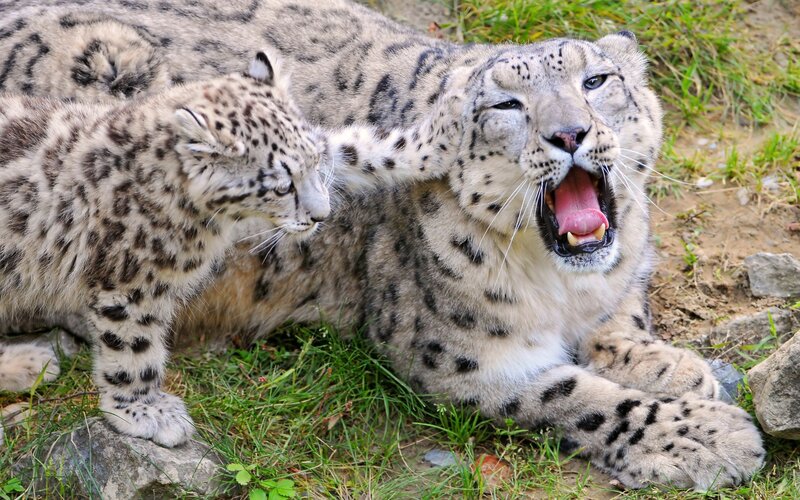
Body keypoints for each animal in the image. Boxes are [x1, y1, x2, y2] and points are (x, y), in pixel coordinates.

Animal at [0, 48, 462, 446]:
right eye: (281, 186)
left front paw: (443, 130)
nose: (321, 215)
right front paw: (145, 412)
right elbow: (134, 349)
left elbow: (350, 147)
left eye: (315, 162)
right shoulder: (131, 284)